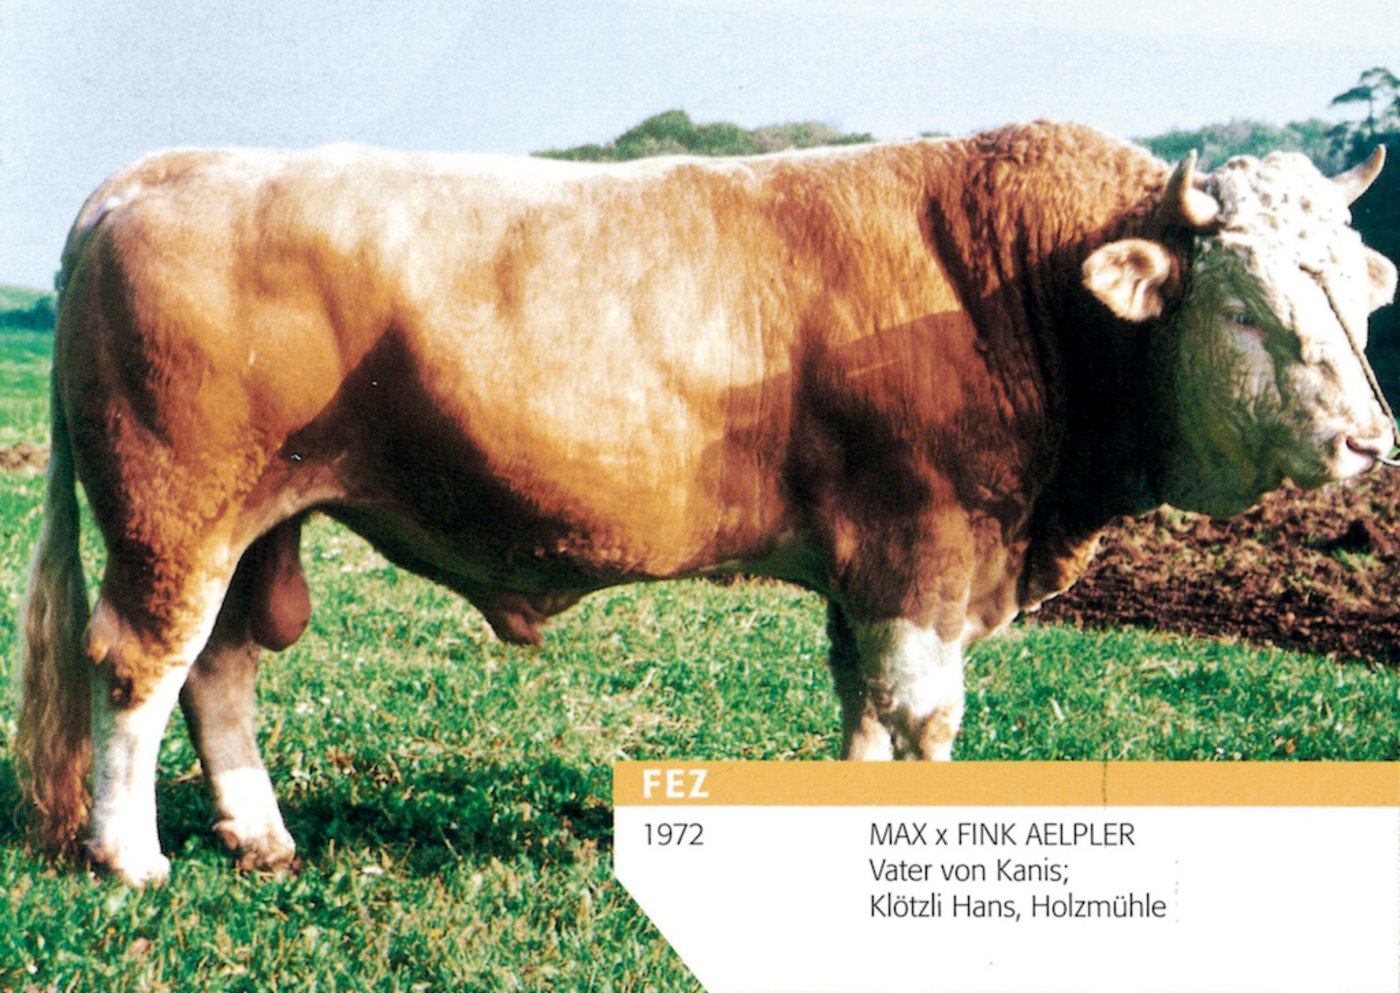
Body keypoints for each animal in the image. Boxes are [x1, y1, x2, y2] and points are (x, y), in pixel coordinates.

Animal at [17, 121, 1396, 886]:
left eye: (1354, 288)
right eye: (1249, 307)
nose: (1367, 443)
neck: (1014, 289)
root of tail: (153, 174)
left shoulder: (867, 561)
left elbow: (861, 704)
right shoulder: (924, 546)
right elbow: (924, 712)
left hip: (257, 523)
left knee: (222, 667)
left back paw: (259, 837)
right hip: (173, 513)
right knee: (138, 663)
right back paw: (132, 859)